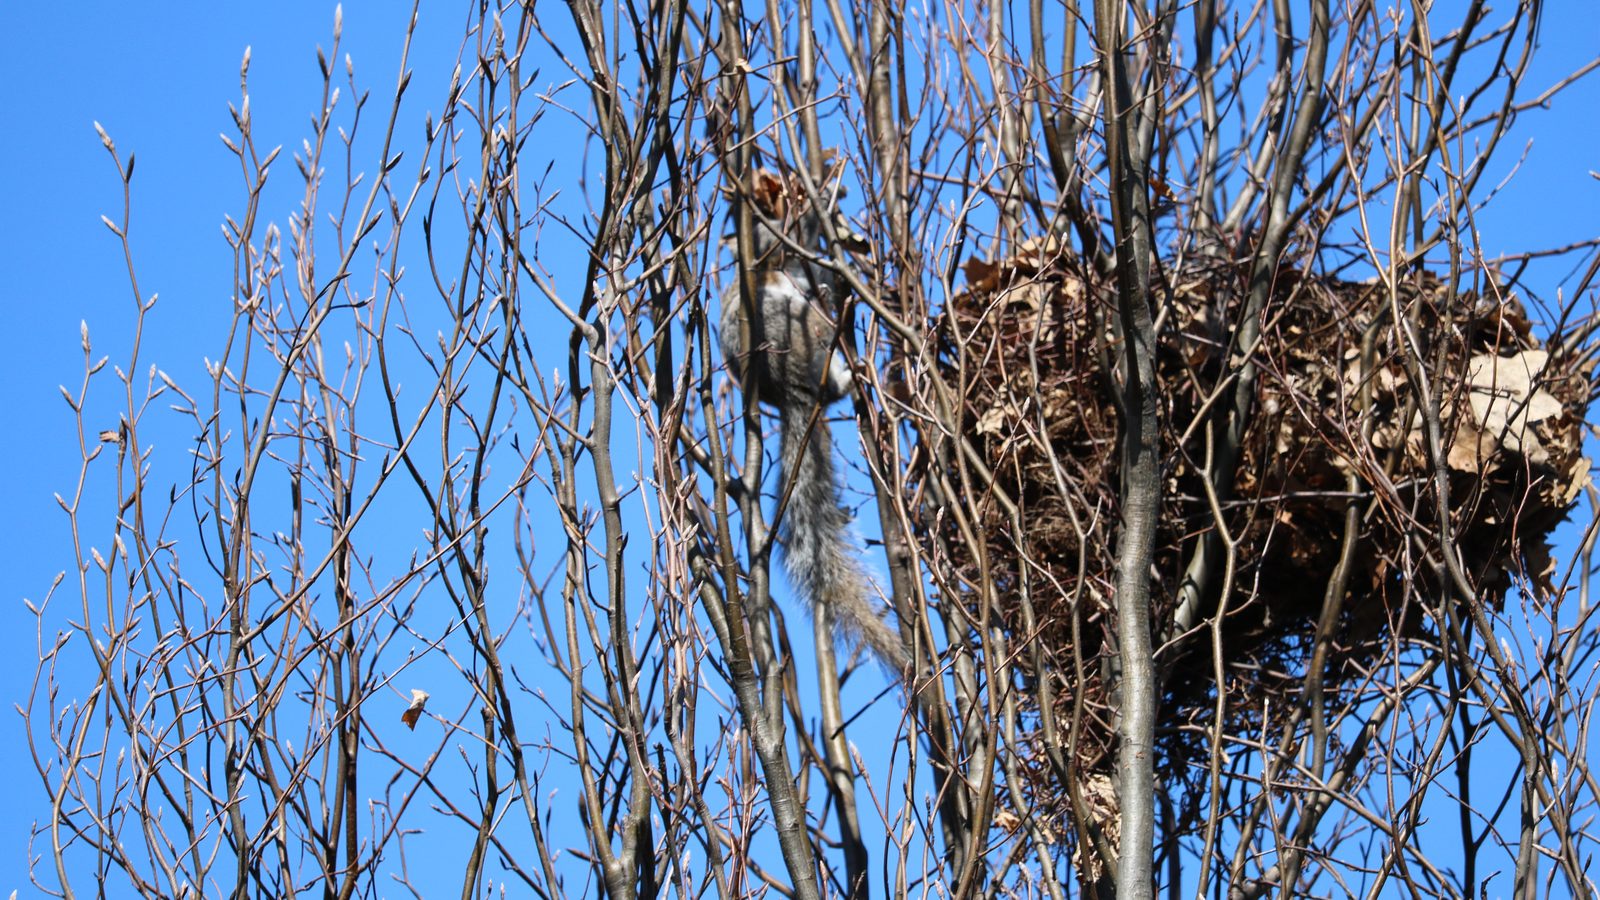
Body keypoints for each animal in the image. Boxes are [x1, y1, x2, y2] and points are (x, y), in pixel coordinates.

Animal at [719, 179, 910, 674]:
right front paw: (818, 204)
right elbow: (784, 240)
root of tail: (792, 393)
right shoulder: (768, 248)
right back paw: (845, 370)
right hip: (796, 327)